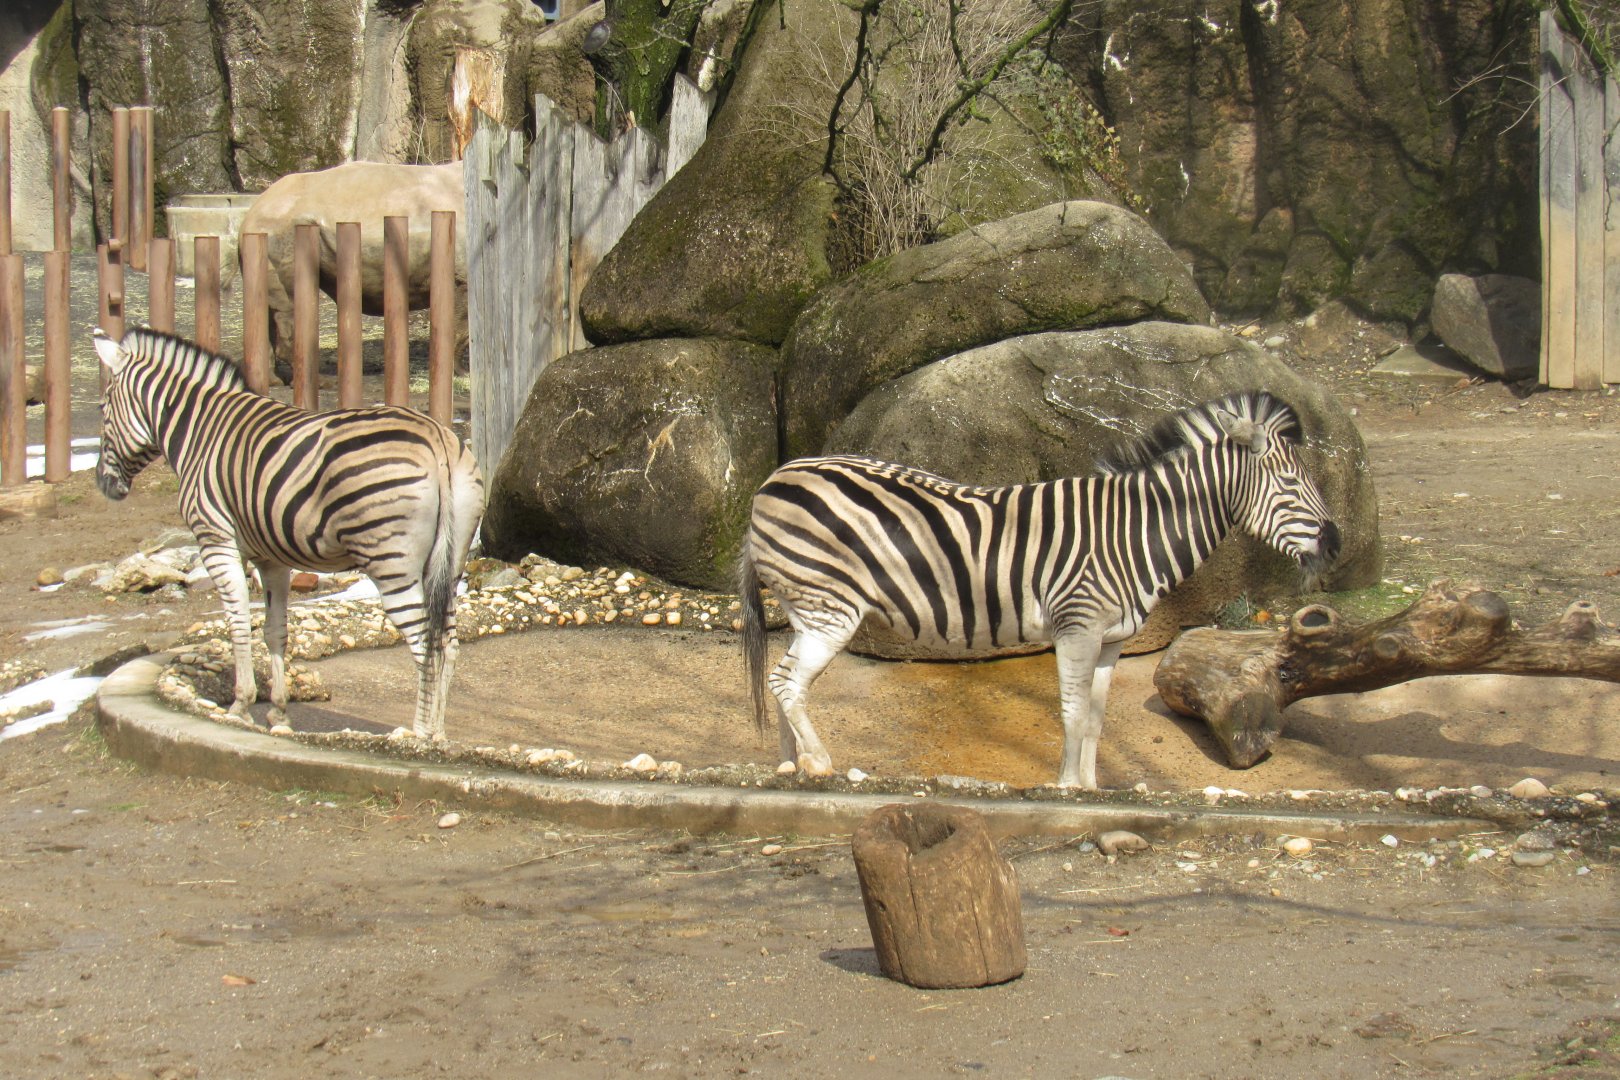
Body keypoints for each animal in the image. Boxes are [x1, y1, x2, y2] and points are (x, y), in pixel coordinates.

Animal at [94, 327, 485, 741]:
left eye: (103, 410)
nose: (104, 485)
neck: (199, 432)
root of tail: (436, 437)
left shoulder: (215, 540)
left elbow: (238, 622)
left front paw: (240, 706)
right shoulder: (272, 559)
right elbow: (274, 631)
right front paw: (278, 712)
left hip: (390, 560)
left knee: (424, 643)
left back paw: (418, 734)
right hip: (448, 561)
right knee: (448, 642)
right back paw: (437, 735)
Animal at [739, 391, 1341, 790]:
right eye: (1291, 483)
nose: (1336, 544)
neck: (1132, 530)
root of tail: (775, 478)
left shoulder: (1111, 640)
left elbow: (1095, 719)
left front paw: (1092, 789)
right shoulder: (1078, 626)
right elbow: (1071, 714)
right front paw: (1068, 788)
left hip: (807, 607)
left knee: (783, 682)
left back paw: (791, 765)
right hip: (830, 608)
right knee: (788, 682)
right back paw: (820, 763)